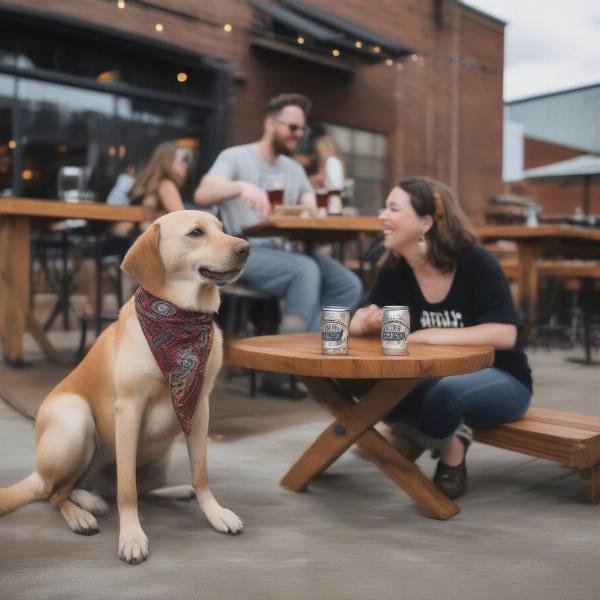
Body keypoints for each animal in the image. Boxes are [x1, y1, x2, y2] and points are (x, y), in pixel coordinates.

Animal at [0, 210, 250, 564]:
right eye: (196, 233)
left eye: (222, 229)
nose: (246, 248)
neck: (181, 317)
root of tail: (39, 474)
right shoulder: (129, 409)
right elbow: (127, 490)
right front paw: (132, 536)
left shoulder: (198, 407)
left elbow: (200, 474)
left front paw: (215, 514)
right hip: (76, 419)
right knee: (57, 493)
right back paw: (83, 512)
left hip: (160, 458)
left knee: (113, 488)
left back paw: (170, 491)